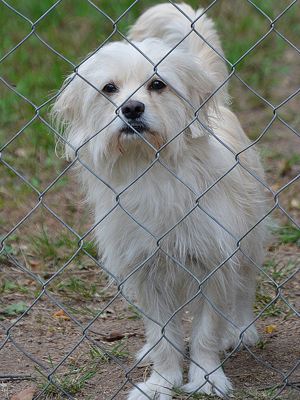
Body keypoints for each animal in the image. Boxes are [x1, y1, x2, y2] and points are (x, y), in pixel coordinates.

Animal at [51, 3, 268, 400]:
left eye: (157, 85)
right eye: (109, 88)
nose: (132, 108)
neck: (152, 169)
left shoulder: (214, 262)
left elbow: (205, 332)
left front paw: (206, 378)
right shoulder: (144, 270)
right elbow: (164, 335)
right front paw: (162, 382)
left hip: (250, 240)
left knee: (244, 289)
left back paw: (240, 330)